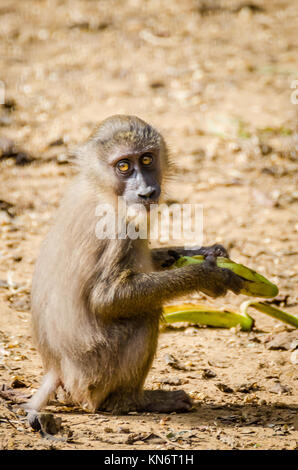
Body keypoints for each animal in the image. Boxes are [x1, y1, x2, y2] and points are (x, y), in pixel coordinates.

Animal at [26, 114, 242, 426]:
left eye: (147, 159)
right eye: (124, 166)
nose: (147, 190)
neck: (100, 187)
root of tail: (57, 370)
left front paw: (205, 253)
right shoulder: (118, 227)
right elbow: (107, 299)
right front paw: (209, 276)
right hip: (94, 378)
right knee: (146, 313)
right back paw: (130, 401)